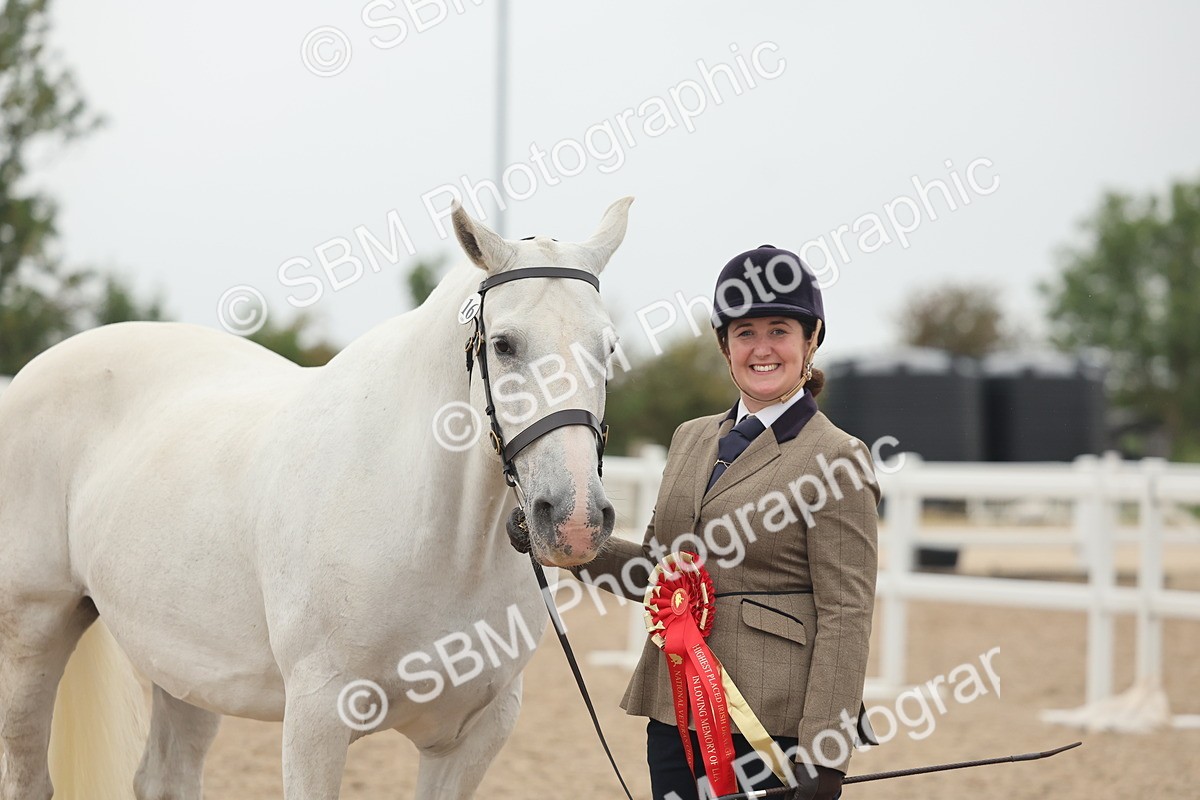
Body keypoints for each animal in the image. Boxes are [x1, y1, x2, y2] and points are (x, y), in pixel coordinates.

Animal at [0, 196, 633, 799]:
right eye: (503, 345)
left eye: (608, 349)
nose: (574, 518)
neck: (442, 541)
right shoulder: (317, 718)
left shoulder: (474, 735)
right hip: (34, 629)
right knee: (29, 778)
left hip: (187, 665)